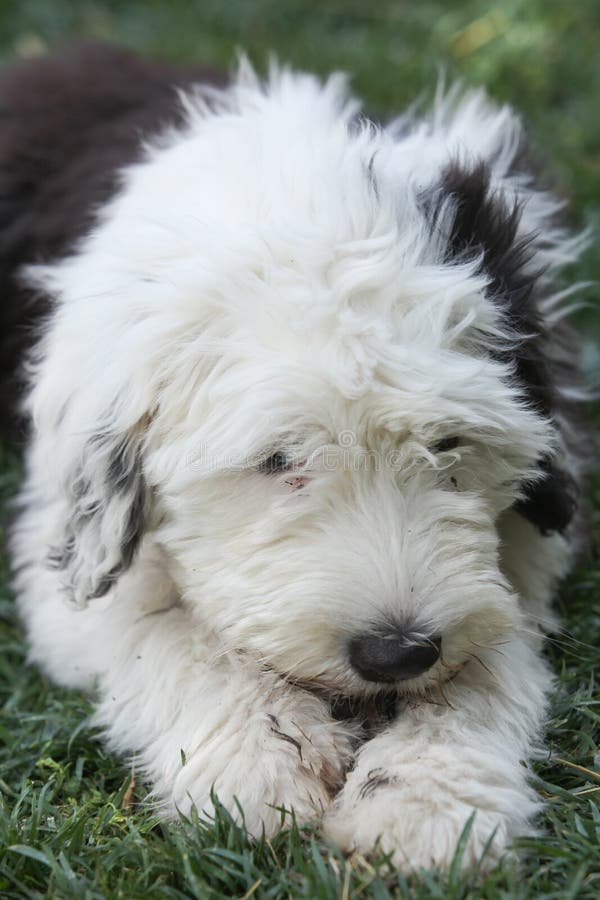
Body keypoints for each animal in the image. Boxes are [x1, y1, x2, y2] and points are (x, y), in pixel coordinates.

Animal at [2, 42, 592, 872]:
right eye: (278, 459)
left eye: (449, 444)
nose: (395, 653)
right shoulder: (69, 543)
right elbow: (157, 625)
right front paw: (262, 765)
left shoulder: (540, 519)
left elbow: (490, 648)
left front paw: (427, 804)